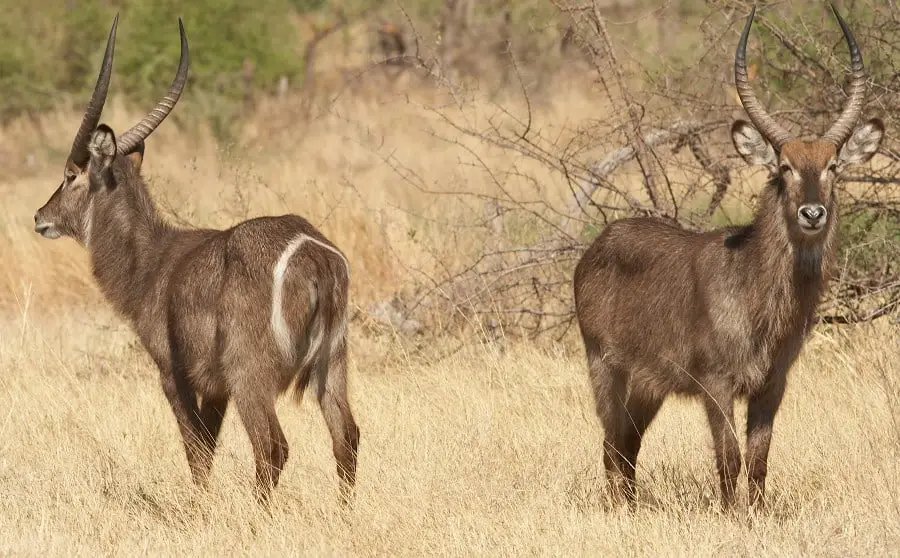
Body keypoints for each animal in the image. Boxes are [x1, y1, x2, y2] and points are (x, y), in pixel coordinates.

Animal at [32, 16, 362, 508]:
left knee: (273, 446)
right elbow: (207, 446)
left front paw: (199, 511)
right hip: (332, 363)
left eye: (70, 174)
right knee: (346, 436)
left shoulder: (175, 374)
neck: (151, 261)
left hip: (251, 374)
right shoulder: (216, 387)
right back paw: (343, 516)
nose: (40, 216)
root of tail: (313, 254)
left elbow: (196, 453)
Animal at [572, 4, 884, 512]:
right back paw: (618, 508)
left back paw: (633, 507)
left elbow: (759, 460)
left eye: (833, 166)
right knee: (610, 444)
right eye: (784, 167)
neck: (756, 288)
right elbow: (729, 458)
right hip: (605, 367)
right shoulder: (714, 383)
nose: (812, 212)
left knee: (628, 445)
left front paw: (754, 515)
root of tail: (599, 242)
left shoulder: (772, 385)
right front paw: (728, 514)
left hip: (647, 385)